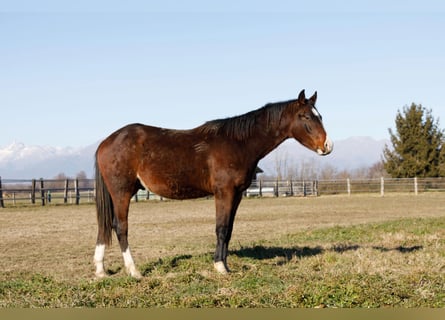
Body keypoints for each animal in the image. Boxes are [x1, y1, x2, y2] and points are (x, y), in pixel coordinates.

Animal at [93, 89, 332, 278]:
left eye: (319, 116)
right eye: (305, 116)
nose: (327, 146)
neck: (238, 143)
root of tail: (106, 142)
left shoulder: (236, 194)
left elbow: (229, 229)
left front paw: (224, 263)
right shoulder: (224, 192)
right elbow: (221, 228)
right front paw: (220, 267)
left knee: (104, 227)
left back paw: (101, 271)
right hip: (122, 192)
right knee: (120, 227)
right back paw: (133, 271)